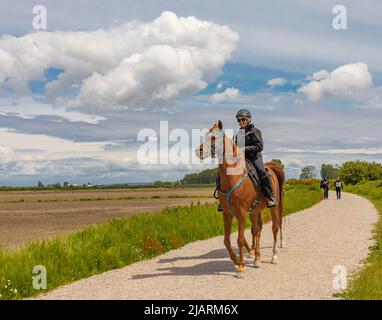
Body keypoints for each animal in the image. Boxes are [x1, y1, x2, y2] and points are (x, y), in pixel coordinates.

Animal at [197, 121, 284, 274]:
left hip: (274, 207)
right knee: (257, 230)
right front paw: (237, 260)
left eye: (213, 137)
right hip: (255, 211)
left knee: (275, 228)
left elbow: (240, 239)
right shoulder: (227, 214)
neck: (233, 178)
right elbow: (227, 240)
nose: (199, 151)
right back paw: (257, 259)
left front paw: (241, 267)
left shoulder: (242, 214)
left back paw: (273, 257)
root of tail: (271, 168)